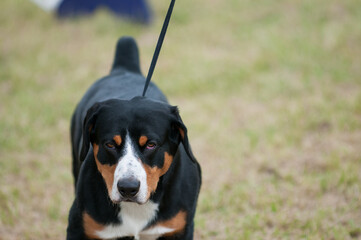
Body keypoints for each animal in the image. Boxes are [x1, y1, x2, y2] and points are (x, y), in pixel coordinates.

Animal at [66, 36, 201, 240]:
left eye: (151, 145)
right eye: (110, 144)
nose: (128, 188)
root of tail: (125, 68)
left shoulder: (179, 228)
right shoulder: (79, 226)